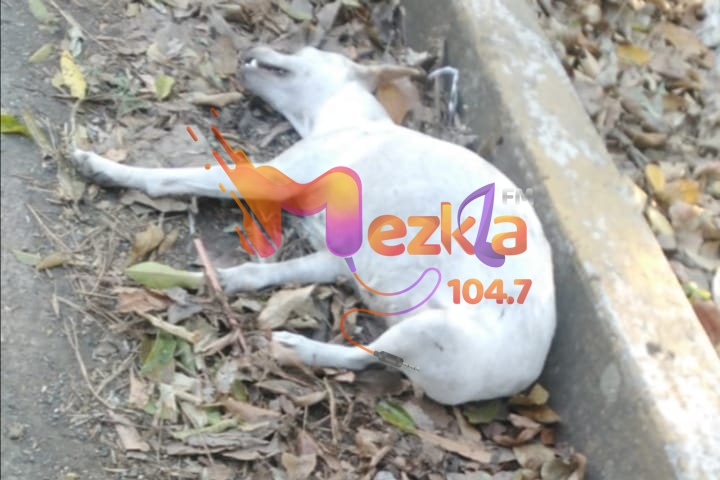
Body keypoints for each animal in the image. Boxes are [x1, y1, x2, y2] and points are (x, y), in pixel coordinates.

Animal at [70, 45, 556, 406]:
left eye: (305, 47)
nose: (249, 49)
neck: (346, 118)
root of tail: (521, 380)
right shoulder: (338, 259)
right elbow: (270, 270)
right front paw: (223, 278)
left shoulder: (273, 176)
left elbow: (176, 175)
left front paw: (106, 167)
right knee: (377, 360)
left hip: (436, 331)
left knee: (365, 358)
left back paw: (298, 346)